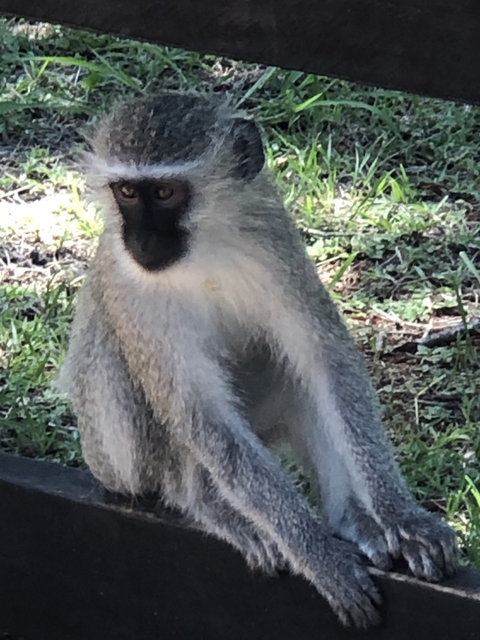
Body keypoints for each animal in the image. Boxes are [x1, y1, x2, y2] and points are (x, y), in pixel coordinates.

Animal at [57, 92, 457, 629]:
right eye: (125, 193)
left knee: (293, 369)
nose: (140, 241)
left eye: (163, 192)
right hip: (117, 460)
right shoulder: (131, 286)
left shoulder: (273, 242)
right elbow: (198, 412)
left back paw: (353, 519)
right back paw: (209, 505)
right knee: (129, 368)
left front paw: (400, 516)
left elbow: (326, 362)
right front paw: (317, 555)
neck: (202, 249)